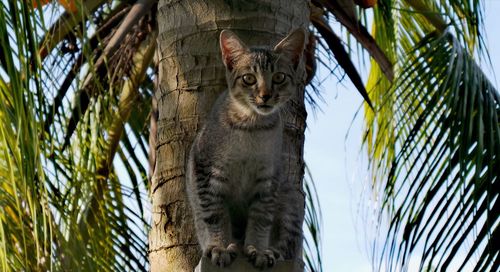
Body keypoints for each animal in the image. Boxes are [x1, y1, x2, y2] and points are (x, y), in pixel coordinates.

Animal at [187, 27, 306, 270]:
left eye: (279, 77)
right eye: (249, 78)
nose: (265, 95)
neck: (252, 126)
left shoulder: (269, 179)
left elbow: (261, 218)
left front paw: (259, 250)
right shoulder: (206, 171)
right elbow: (215, 215)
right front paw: (221, 247)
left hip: (292, 199)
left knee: (288, 242)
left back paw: (274, 252)